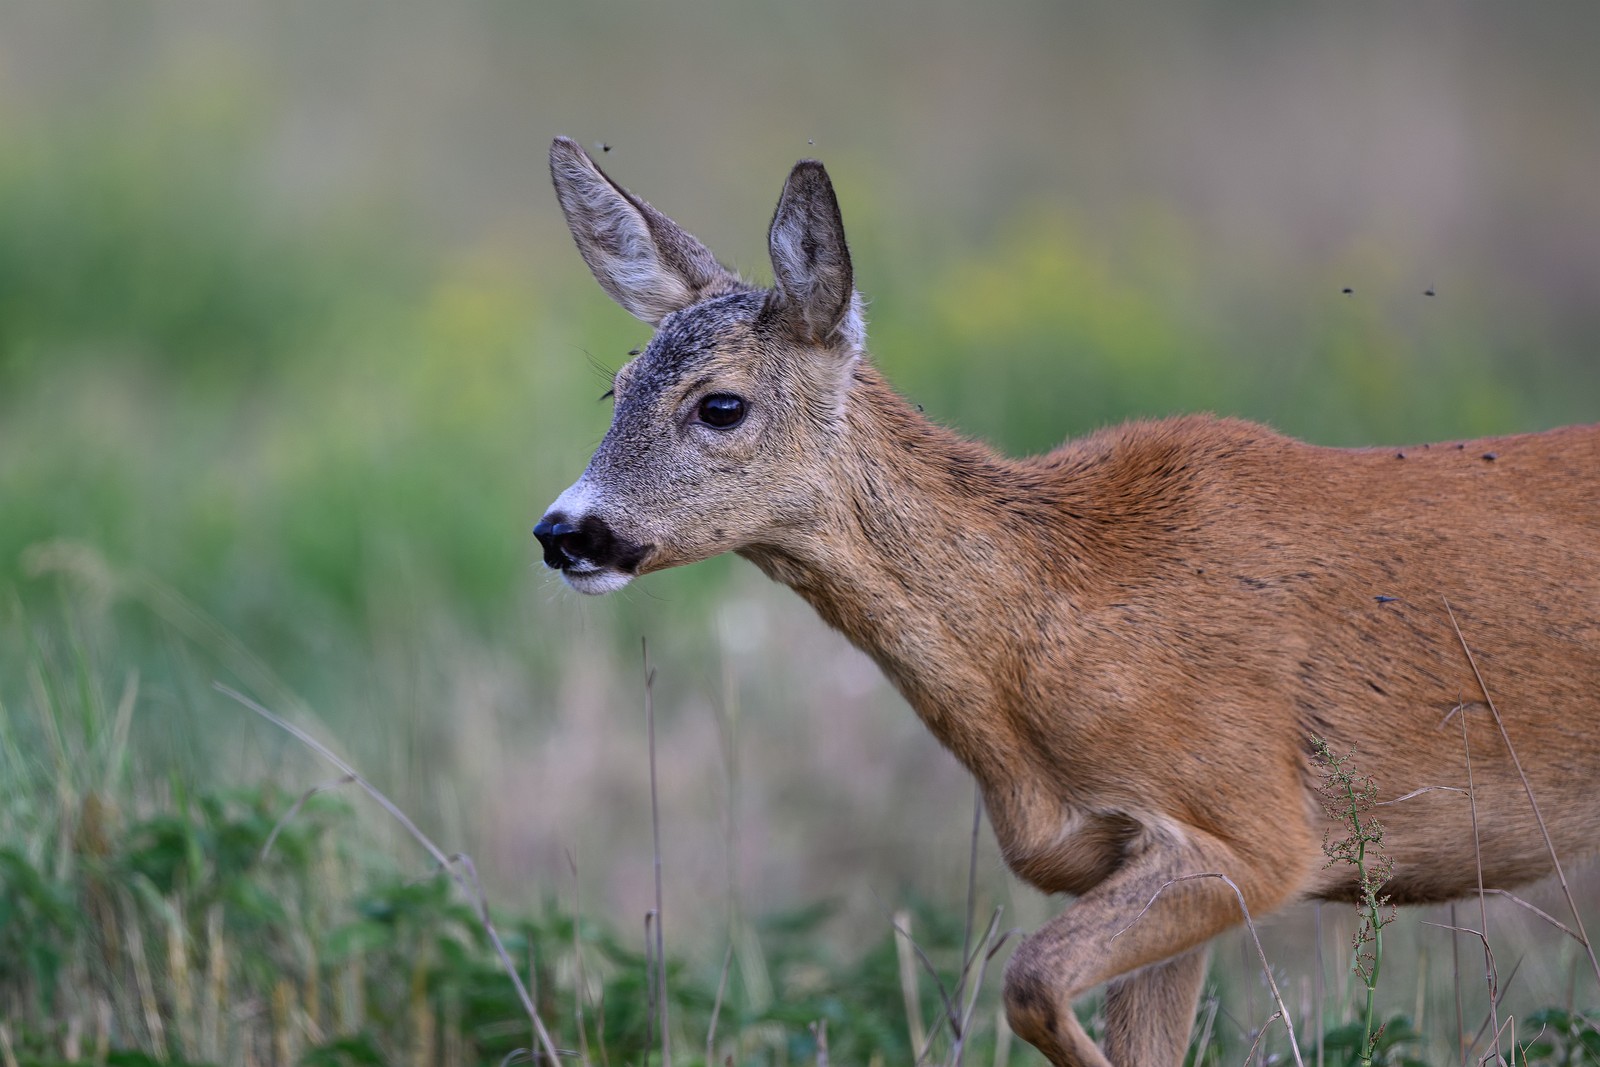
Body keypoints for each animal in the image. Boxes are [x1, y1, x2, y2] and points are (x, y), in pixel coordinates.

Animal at [533, 136, 1600, 1067]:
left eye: (720, 404)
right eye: (617, 389)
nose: (563, 531)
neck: (1060, 610)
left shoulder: (1258, 828)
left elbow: (1031, 978)